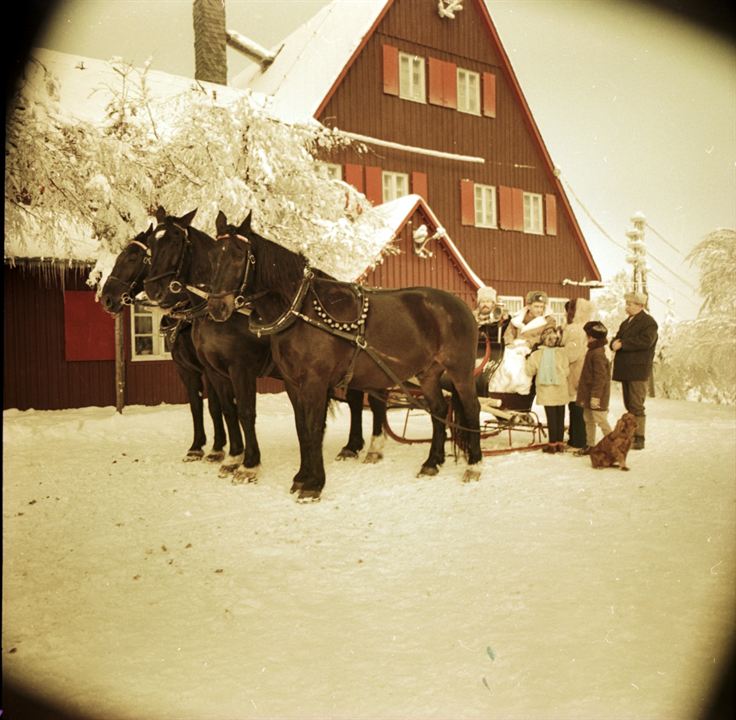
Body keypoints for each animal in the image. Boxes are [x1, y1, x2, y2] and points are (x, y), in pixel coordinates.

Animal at [140, 207, 388, 484]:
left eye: (174, 241)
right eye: (151, 244)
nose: (153, 289)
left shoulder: (241, 369)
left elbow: (245, 412)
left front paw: (249, 464)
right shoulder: (215, 372)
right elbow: (227, 410)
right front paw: (232, 457)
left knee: (374, 400)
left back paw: (372, 448)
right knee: (357, 400)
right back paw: (352, 446)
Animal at [206, 211, 484, 498]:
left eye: (240, 255)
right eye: (213, 255)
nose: (216, 307)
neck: (300, 311)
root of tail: (461, 305)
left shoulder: (314, 382)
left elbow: (314, 428)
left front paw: (314, 484)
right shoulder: (293, 384)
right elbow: (302, 429)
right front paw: (302, 477)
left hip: (460, 371)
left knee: (472, 408)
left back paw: (474, 465)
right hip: (427, 373)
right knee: (439, 409)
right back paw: (432, 462)